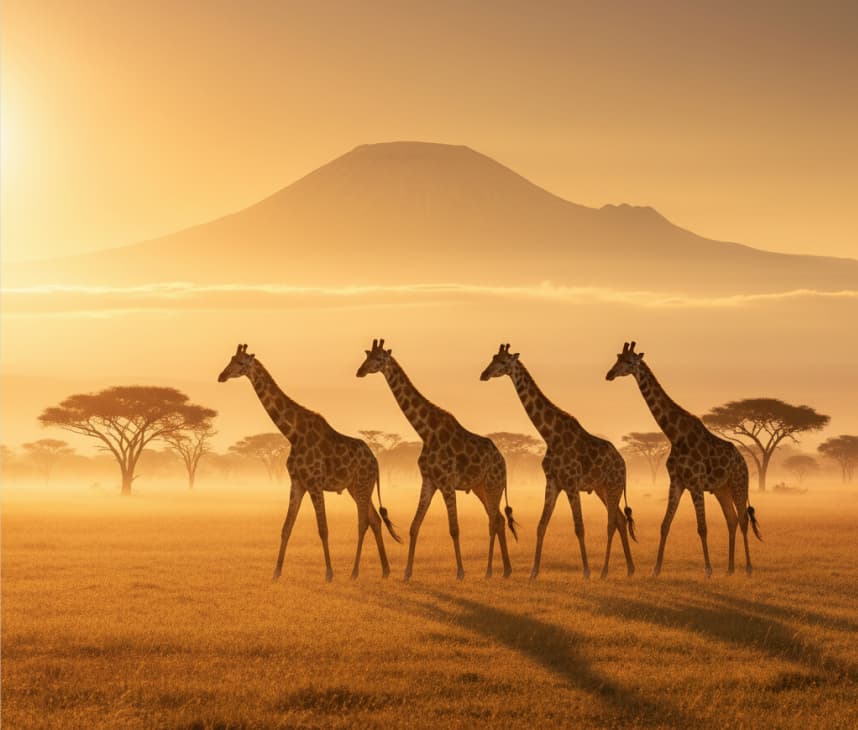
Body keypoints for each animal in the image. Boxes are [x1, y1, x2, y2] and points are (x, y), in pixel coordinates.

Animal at [218, 344, 400, 582]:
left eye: (240, 363)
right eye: (231, 359)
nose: (221, 376)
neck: (293, 434)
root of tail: (376, 462)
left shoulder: (314, 484)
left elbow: (323, 529)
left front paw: (329, 573)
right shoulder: (297, 483)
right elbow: (286, 527)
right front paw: (276, 573)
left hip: (362, 486)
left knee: (364, 522)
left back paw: (355, 572)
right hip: (356, 487)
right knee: (375, 520)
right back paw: (385, 570)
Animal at [356, 339, 518, 581]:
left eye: (378, 358)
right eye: (366, 356)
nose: (360, 371)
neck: (426, 431)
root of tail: (504, 462)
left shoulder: (447, 483)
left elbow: (454, 528)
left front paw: (460, 572)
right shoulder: (429, 481)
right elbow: (414, 525)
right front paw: (407, 573)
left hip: (493, 485)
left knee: (495, 519)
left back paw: (496, 570)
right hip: (480, 487)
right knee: (498, 519)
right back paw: (506, 570)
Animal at [481, 343, 636, 579]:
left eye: (503, 362)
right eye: (493, 358)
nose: (484, 374)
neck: (549, 435)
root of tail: (623, 463)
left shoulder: (571, 483)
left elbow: (579, 527)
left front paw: (586, 571)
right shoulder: (552, 482)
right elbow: (541, 525)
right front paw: (533, 572)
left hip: (613, 485)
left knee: (613, 521)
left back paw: (605, 570)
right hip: (601, 488)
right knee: (618, 518)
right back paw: (629, 568)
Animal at [605, 341, 762, 576]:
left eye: (629, 361)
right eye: (617, 357)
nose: (610, 374)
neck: (675, 435)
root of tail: (743, 461)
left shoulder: (695, 483)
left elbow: (702, 527)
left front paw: (708, 570)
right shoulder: (677, 481)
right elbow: (665, 524)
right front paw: (656, 569)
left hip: (738, 483)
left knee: (743, 519)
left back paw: (749, 568)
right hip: (722, 489)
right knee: (732, 520)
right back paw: (730, 569)